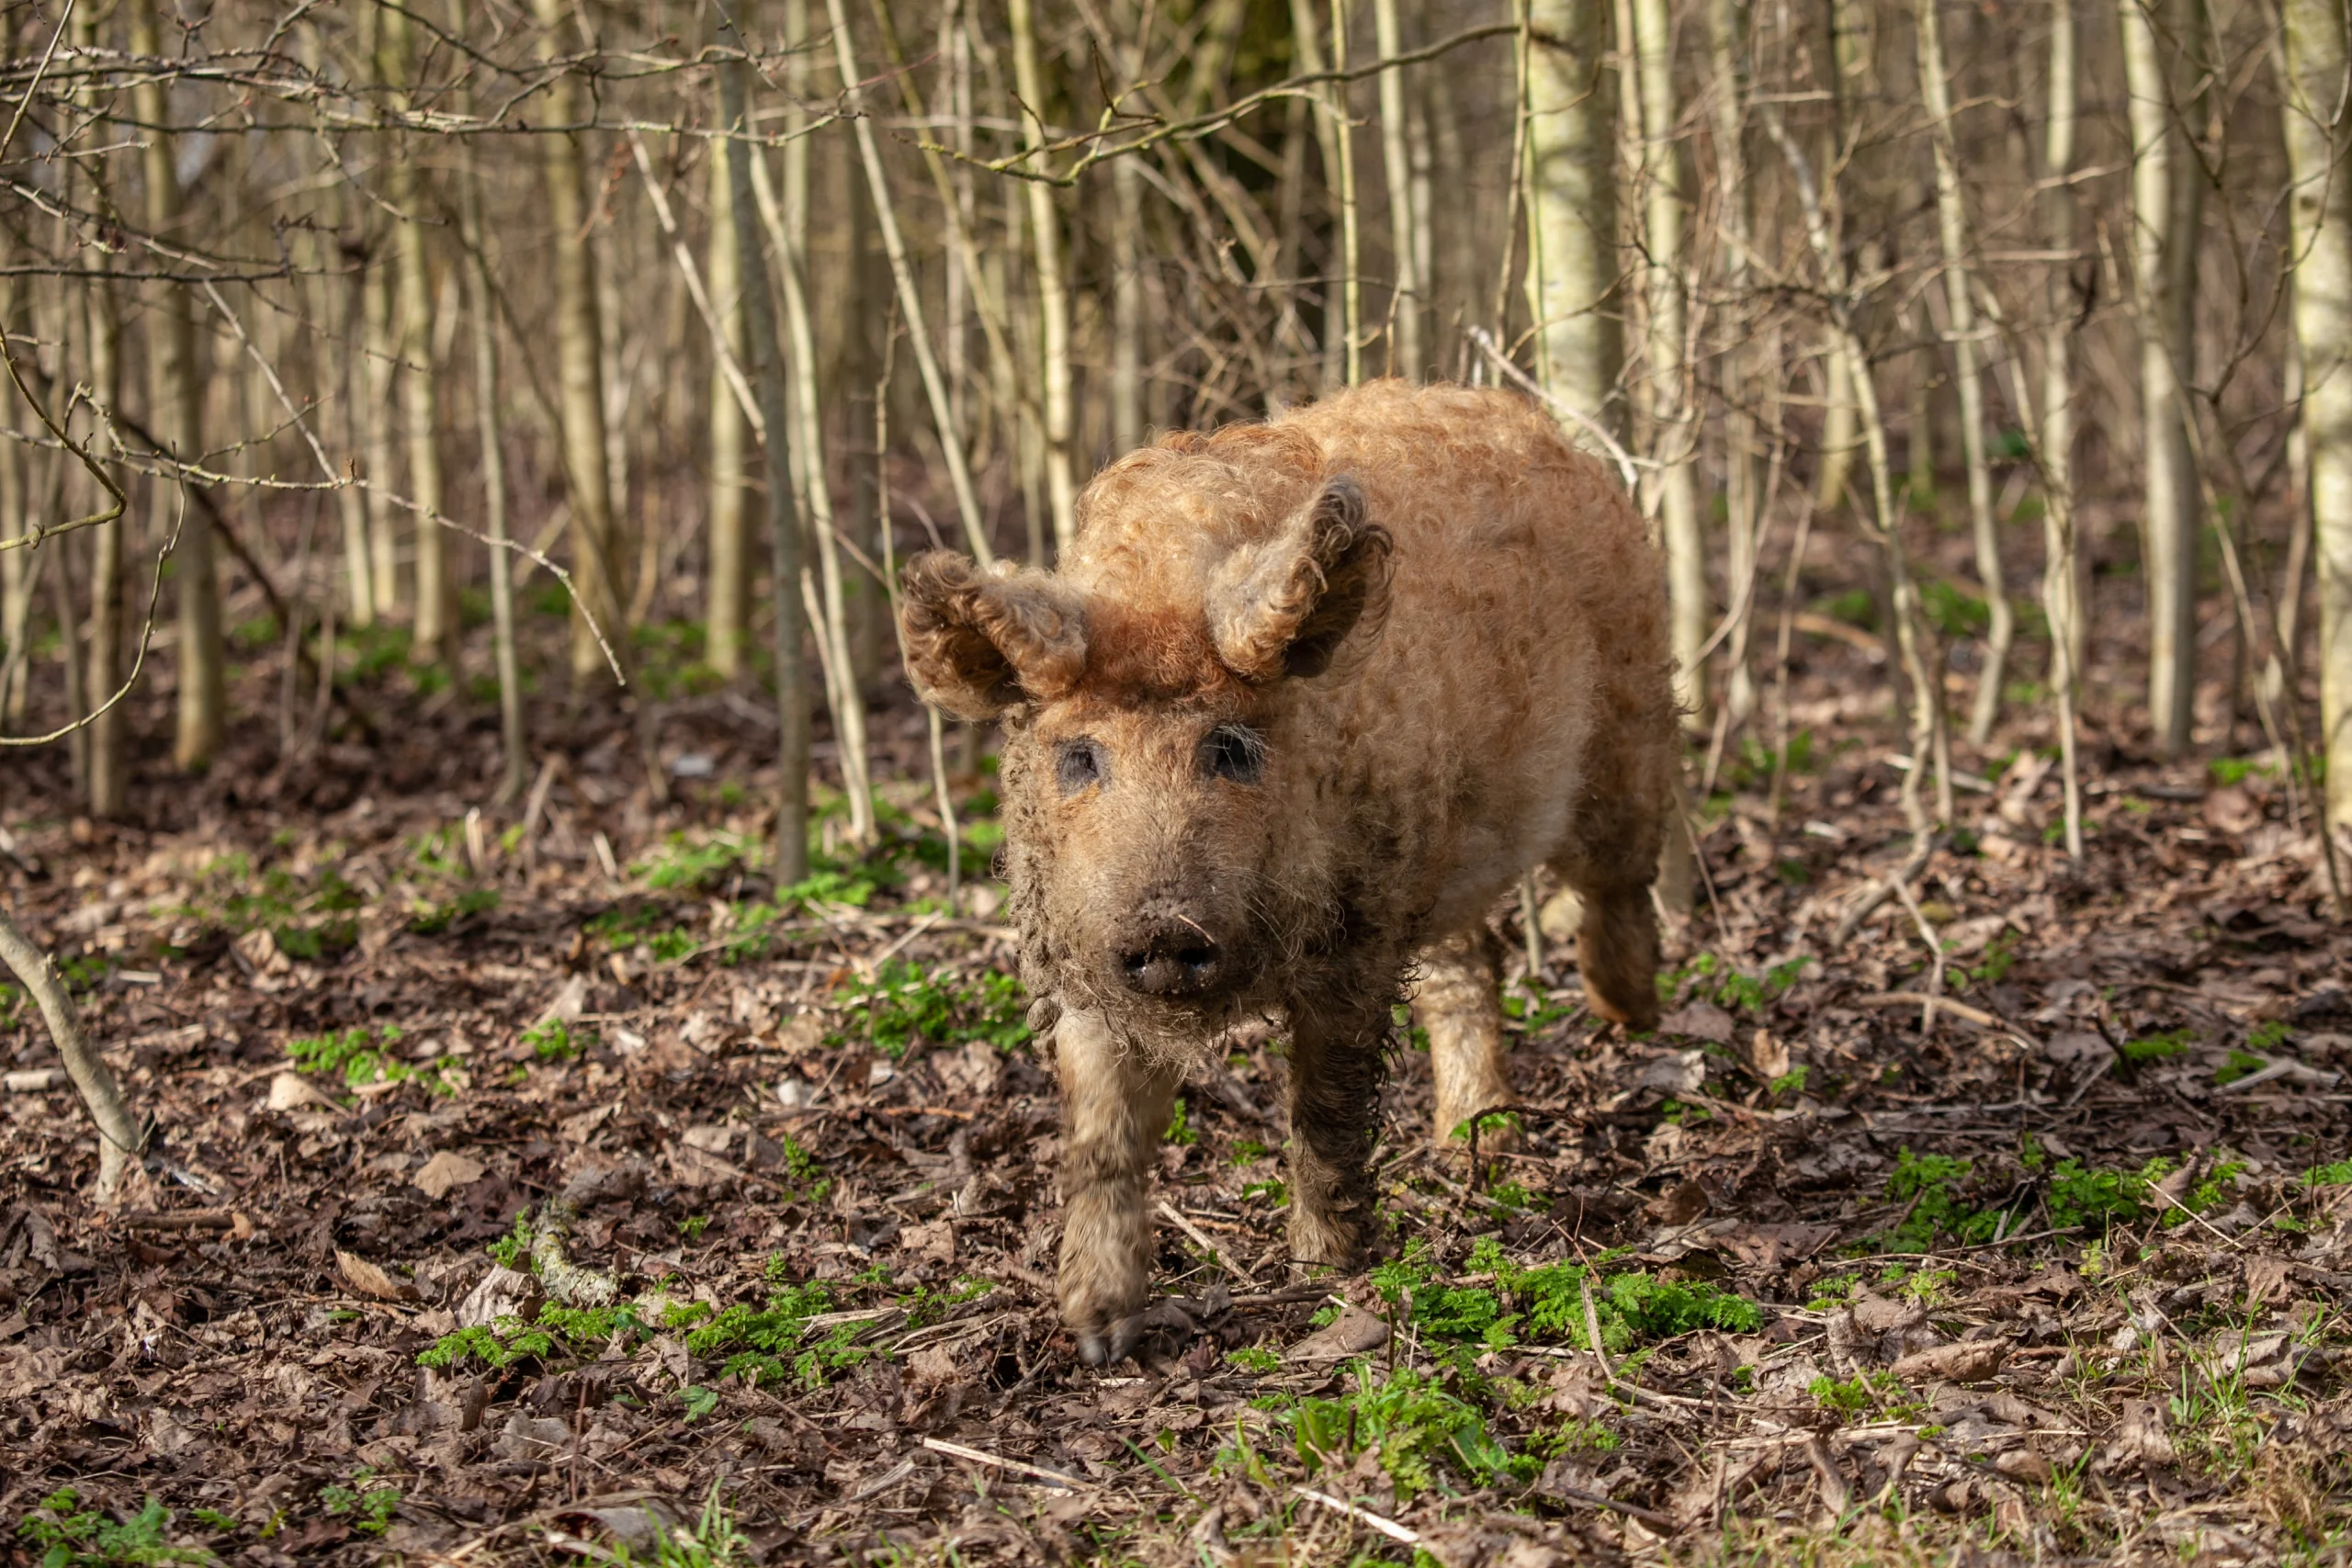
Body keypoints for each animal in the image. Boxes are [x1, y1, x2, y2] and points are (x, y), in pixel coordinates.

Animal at [898, 380, 1675, 1364]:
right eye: (1078, 757)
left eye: (1230, 746)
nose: (1167, 928)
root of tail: (1542, 428)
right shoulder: (1082, 958)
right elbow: (1104, 1139)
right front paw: (1099, 1336)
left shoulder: (1354, 936)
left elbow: (1326, 1109)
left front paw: (1325, 1273)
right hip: (1440, 850)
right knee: (1470, 969)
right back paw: (1473, 1144)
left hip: (1625, 730)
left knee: (1618, 879)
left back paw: (1627, 1012)